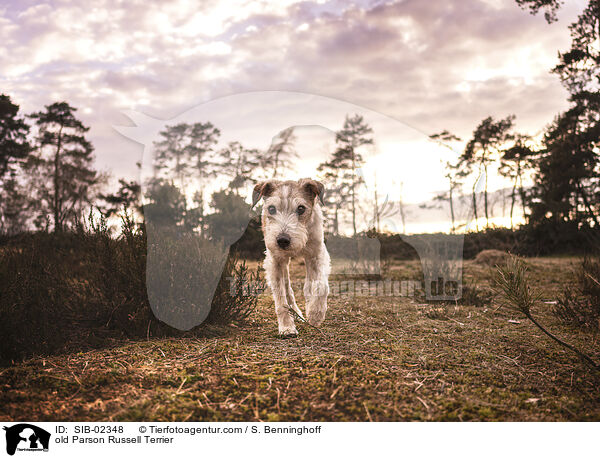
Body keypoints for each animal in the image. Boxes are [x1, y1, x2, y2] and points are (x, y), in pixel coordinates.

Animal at [251, 177, 330, 338]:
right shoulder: (274, 260)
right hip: (283, 262)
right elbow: (281, 300)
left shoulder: (317, 254)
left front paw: (315, 313)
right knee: (288, 288)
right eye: (271, 209)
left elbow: (321, 285)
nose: (282, 240)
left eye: (301, 208)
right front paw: (287, 327)